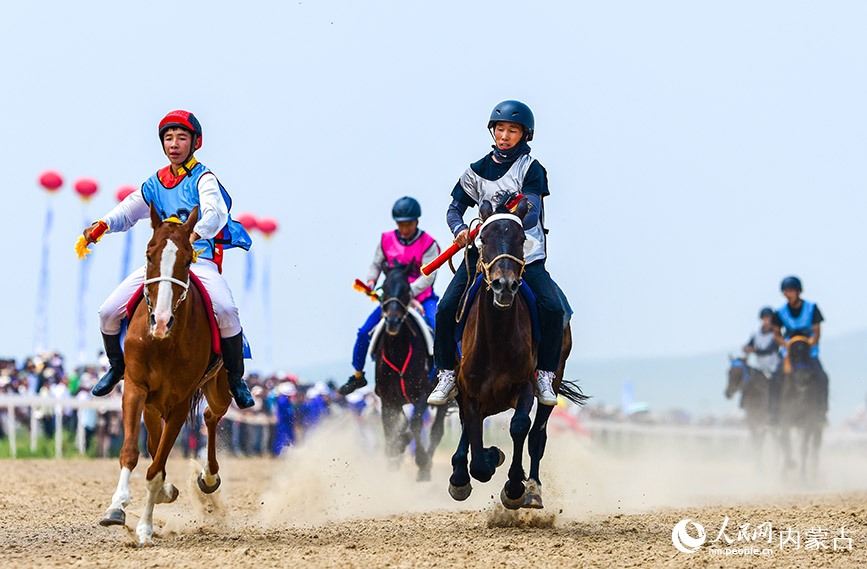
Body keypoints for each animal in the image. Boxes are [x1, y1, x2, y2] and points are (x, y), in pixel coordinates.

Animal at [99, 204, 233, 545]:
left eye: (187, 259)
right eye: (149, 255)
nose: (160, 321)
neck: (162, 343)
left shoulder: (179, 403)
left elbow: (156, 468)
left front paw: (145, 529)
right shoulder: (136, 389)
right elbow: (132, 452)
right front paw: (116, 507)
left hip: (219, 388)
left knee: (212, 415)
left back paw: (208, 477)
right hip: (151, 404)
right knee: (154, 440)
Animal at [374, 260, 447, 481]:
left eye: (407, 290)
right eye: (384, 288)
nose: (393, 321)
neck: (398, 353)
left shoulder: (422, 393)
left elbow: (414, 424)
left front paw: (421, 461)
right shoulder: (388, 400)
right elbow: (391, 429)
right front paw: (392, 457)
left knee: (437, 429)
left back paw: (425, 468)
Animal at [447, 198, 588, 509]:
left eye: (521, 238)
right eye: (483, 239)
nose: (505, 285)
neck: (496, 339)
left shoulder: (524, 384)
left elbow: (520, 427)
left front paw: (514, 487)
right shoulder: (469, 391)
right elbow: (474, 443)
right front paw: (476, 466)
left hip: (554, 378)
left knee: (537, 436)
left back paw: (533, 489)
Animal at [777, 336, 827, 483]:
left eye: (808, 353)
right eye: (792, 354)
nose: (803, 378)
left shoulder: (809, 419)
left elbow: (803, 448)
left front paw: (803, 478)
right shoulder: (785, 417)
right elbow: (784, 441)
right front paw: (787, 469)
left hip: (818, 426)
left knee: (814, 449)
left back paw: (814, 476)